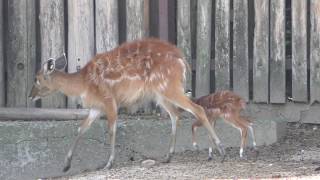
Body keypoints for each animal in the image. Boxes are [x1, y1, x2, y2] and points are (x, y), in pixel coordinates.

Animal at [29, 38, 225, 172]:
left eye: (37, 79)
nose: (30, 95)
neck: (83, 84)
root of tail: (183, 61)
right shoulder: (96, 107)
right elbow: (81, 129)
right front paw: (66, 165)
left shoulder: (109, 99)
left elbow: (111, 129)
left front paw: (109, 163)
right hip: (160, 93)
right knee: (175, 115)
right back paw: (168, 156)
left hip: (170, 87)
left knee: (197, 109)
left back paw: (219, 150)